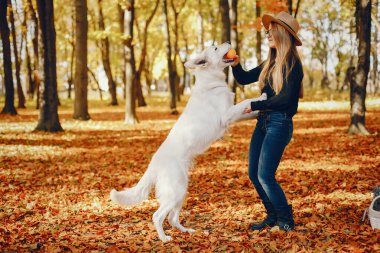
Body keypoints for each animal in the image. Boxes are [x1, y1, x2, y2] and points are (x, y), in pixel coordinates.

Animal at [110, 42, 268, 241]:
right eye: (215, 48)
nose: (227, 42)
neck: (211, 83)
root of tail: (154, 164)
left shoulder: (232, 116)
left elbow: (247, 111)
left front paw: (260, 110)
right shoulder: (226, 115)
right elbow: (246, 102)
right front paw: (262, 97)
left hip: (182, 189)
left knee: (172, 218)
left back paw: (187, 231)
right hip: (175, 190)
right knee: (157, 216)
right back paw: (164, 238)